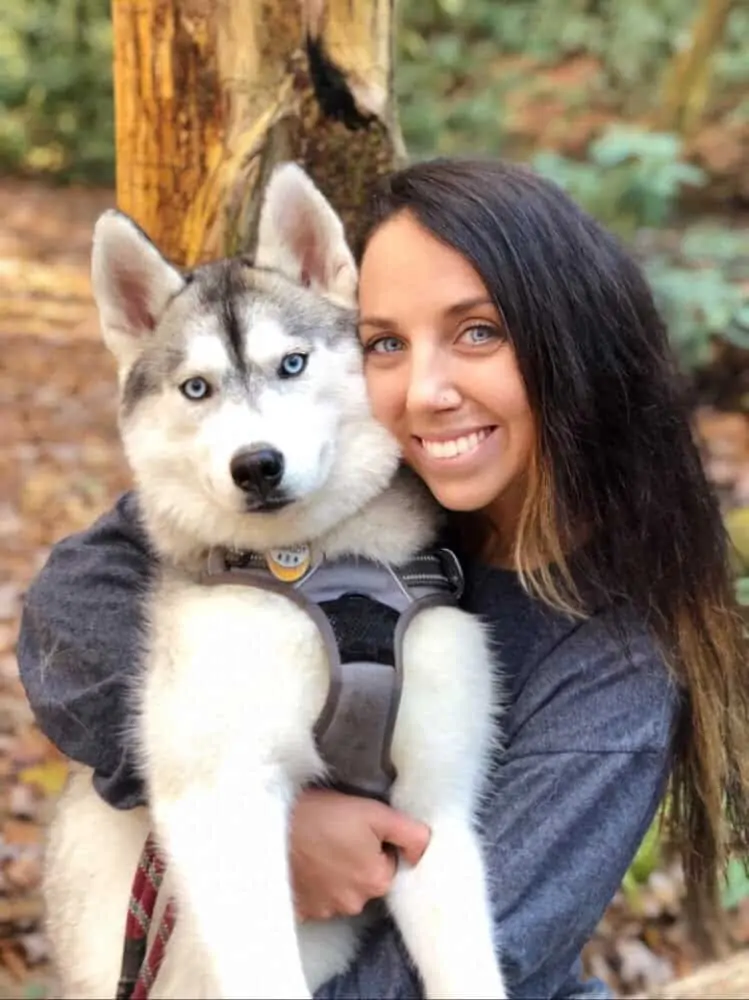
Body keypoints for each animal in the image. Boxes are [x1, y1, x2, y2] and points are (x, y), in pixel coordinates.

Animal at [43, 166, 506, 1000]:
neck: (315, 566)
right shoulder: (220, 800)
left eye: (292, 363)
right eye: (196, 388)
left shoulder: (433, 812)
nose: (256, 465)